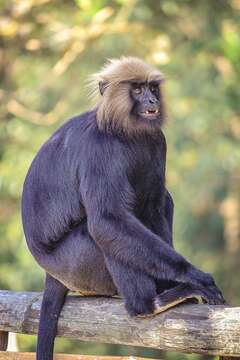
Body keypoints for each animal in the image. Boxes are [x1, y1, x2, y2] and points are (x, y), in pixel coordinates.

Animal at [21, 57, 225, 360]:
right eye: (137, 89)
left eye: (152, 88)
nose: (152, 99)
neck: (121, 128)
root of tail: (52, 275)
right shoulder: (98, 148)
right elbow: (107, 221)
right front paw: (194, 276)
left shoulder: (156, 139)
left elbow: (154, 205)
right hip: (75, 266)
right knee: (103, 232)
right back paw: (146, 305)